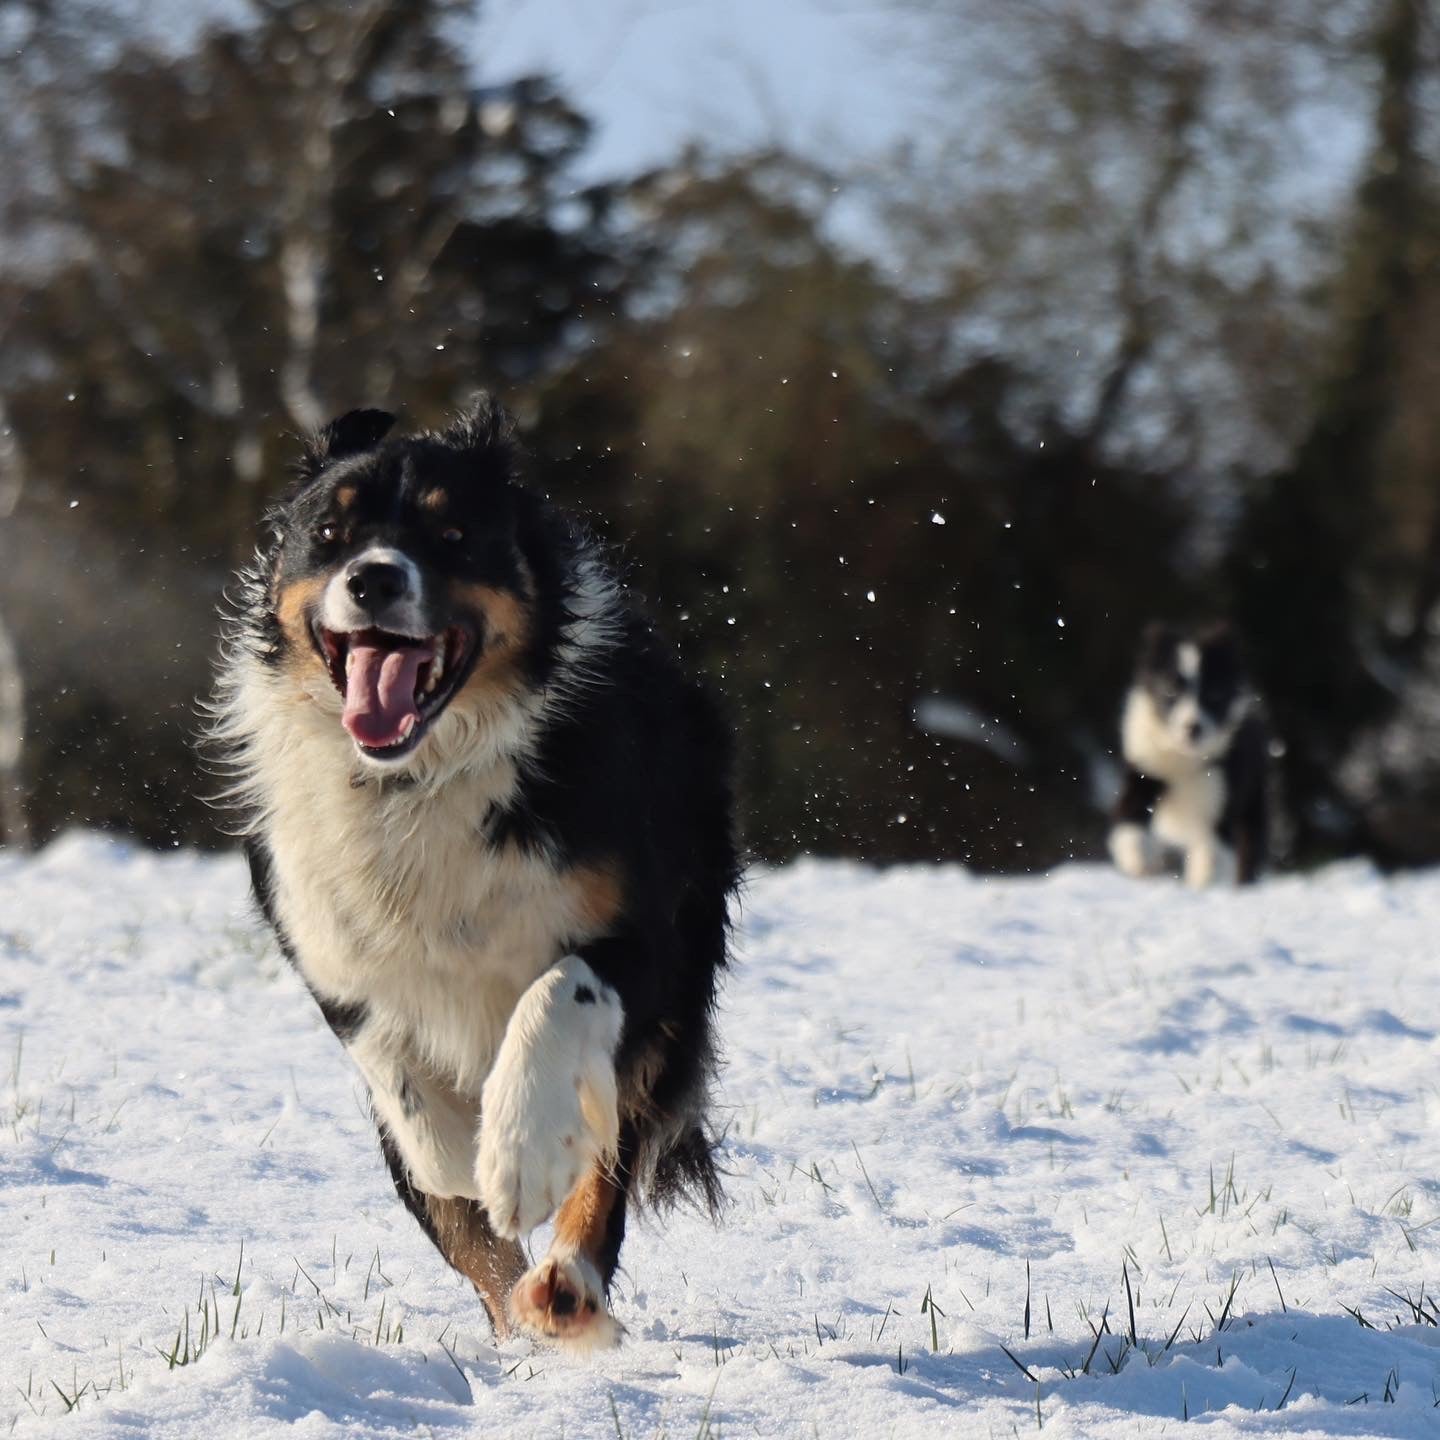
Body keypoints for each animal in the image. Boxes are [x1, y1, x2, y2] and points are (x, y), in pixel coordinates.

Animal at [208, 397, 737, 1347]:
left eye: (452, 534)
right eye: (331, 532)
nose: (374, 580)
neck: (416, 778)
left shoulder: (643, 933)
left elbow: (559, 993)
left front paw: (517, 1154)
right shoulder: (319, 936)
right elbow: (393, 1064)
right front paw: (459, 1149)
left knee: (604, 1158)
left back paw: (564, 1283)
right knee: (473, 1243)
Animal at [1105, 622, 1267, 881]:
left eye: (1214, 693)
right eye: (1171, 690)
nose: (1193, 727)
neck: (1182, 757)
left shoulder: (1223, 788)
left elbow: (1214, 850)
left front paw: (1203, 883)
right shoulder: (1145, 766)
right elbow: (1128, 815)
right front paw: (1139, 860)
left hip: (1254, 794)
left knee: (1250, 839)